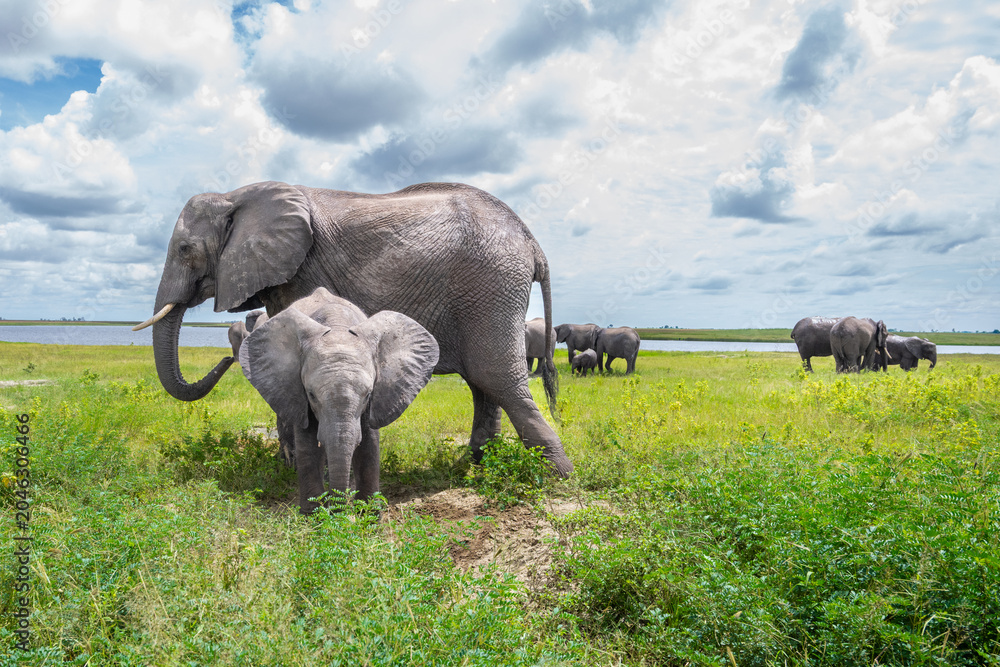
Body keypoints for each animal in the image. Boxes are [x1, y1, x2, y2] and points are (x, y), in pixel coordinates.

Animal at [133, 181, 572, 477]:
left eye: (185, 250)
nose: (225, 359)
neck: (237, 194)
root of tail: (533, 244)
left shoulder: (303, 271)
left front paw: (300, 468)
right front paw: (290, 464)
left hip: (489, 285)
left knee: (495, 375)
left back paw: (556, 475)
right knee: (483, 382)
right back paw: (475, 465)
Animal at [241, 288, 438, 513]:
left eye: (368, 395)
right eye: (311, 395)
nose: (337, 513)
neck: (338, 327)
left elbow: (369, 444)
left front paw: (368, 516)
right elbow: (308, 445)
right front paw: (313, 516)